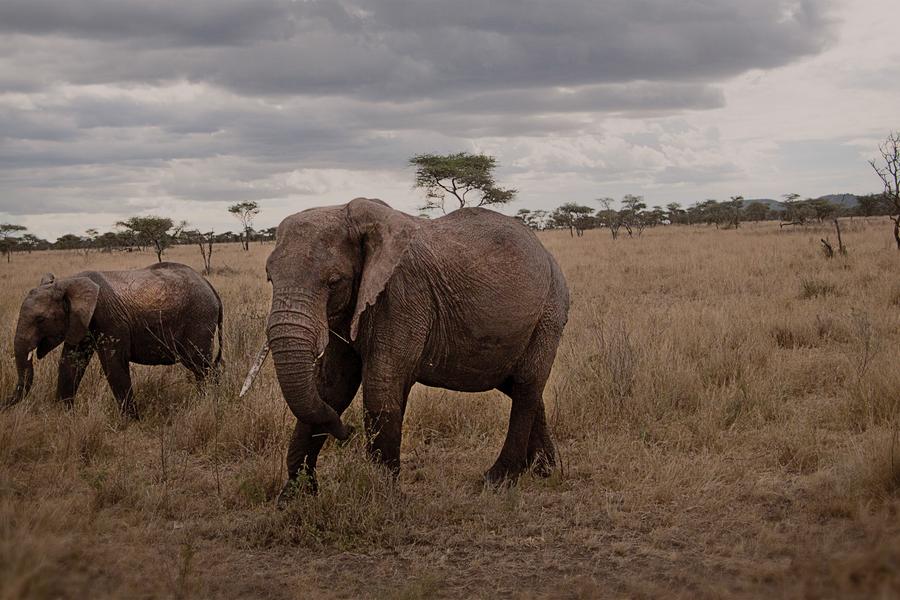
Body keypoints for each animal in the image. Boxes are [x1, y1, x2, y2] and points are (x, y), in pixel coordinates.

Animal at [8, 262, 225, 418]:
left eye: (40, 319)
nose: (5, 406)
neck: (68, 283)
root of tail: (212, 288)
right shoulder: (80, 321)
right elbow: (70, 362)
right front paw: (63, 417)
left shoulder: (108, 319)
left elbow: (113, 364)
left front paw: (131, 422)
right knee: (205, 367)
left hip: (199, 319)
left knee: (200, 366)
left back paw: (206, 404)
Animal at [255, 197, 568, 496]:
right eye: (269, 278)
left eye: (334, 281)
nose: (347, 431)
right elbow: (330, 388)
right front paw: (294, 497)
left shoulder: (402, 295)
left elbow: (380, 389)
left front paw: (383, 498)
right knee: (515, 384)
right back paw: (543, 470)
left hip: (549, 312)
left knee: (526, 385)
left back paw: (499, 479)